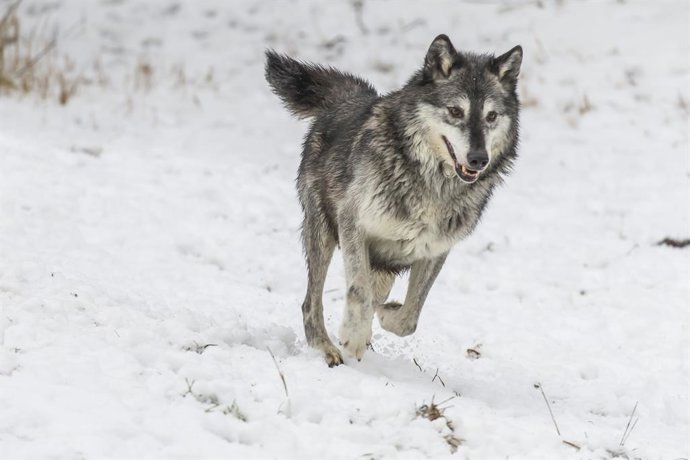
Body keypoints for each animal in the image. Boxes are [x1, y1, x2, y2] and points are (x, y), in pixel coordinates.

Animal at [265, 35, 522, 366]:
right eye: (455, 111)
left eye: (491, 116)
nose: (479, 159)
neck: (432, 185)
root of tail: (351, 98)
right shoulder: (353, 223)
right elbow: (358, 292)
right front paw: (354, 337)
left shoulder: (434, 250)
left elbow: (409, 318)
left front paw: (385, 316)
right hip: (322, 234)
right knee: (311, 302)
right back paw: (327, 348)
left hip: (383, 266)